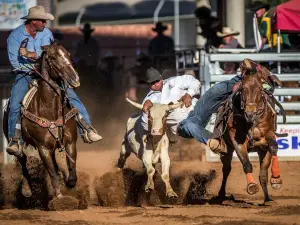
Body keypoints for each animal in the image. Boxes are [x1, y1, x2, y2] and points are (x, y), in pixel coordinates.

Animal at [3, 42, 80, 199]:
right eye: (53, 57)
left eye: (68, 54)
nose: (75, 79)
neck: (50, 108)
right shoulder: (42, 148)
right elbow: (53, 175)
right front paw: (59, 197)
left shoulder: (70, 142)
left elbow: (72, 174)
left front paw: (67, 181)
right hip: (15, 141)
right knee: (22, 160)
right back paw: (26, 189)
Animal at [214, 62, 284, 204]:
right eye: (243, 89)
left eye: (260, 89)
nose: (250, 113)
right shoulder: (238, 143)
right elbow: (247, 164)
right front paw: (251, 185)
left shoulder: (268, 135)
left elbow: (273, 148)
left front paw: (276, 179)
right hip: (227, 149)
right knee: (226, 170)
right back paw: (221, 195)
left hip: (261, 150)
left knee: (263, 172)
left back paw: (267, 197)